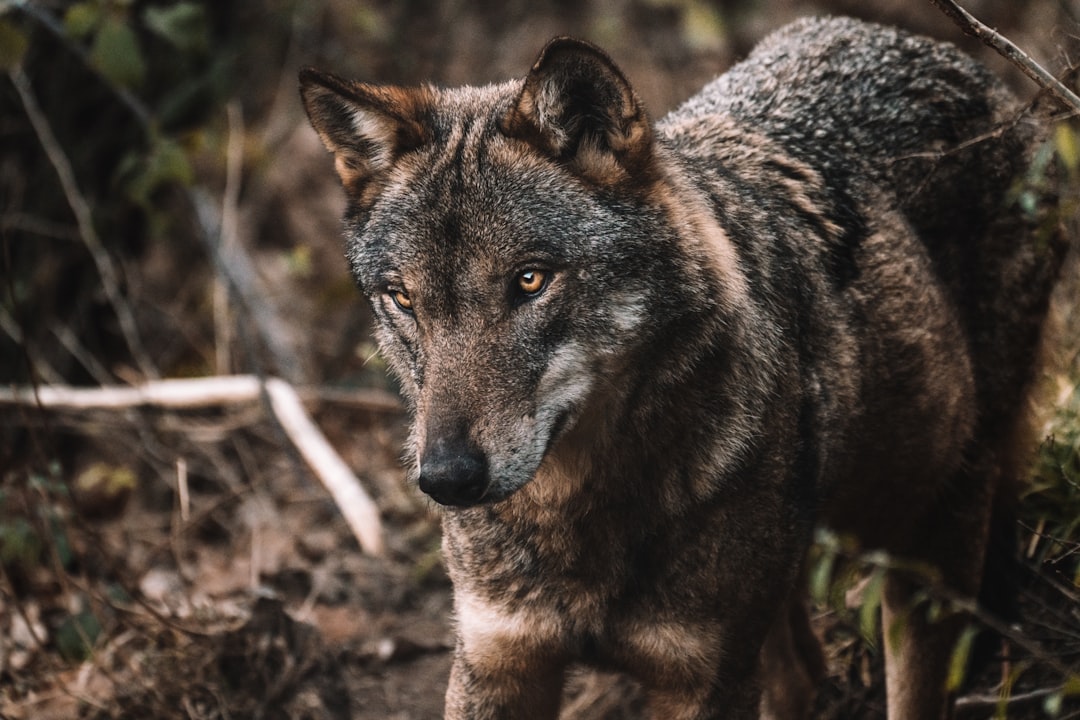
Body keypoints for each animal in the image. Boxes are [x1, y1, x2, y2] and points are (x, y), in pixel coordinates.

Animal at [302, 16, 1062, 720]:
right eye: (404, 298)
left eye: (529, 281)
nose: (448, 480)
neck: (579, 515)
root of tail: (930, 46)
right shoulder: (497, 661)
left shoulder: (703, 678)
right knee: (802, 673)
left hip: (931, 541)